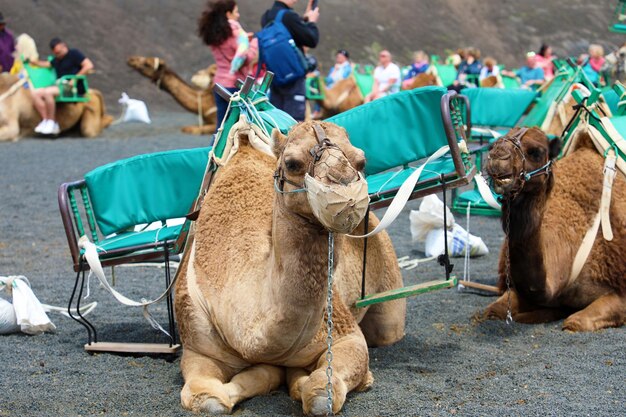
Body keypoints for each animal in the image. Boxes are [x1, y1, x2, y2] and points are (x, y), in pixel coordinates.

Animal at [174, 119, 404, 412]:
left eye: (361, 161)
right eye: (292, 163)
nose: (344, 184)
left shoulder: (344, 331)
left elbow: (321, 395)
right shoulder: (197, 343)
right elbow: (209, 399)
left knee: (387, 330)